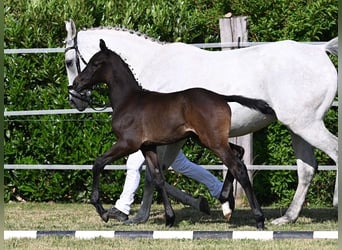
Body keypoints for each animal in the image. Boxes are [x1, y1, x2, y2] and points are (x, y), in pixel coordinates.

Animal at [71, 40, 274, 229]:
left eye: (96, 63)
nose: (75, 84)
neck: (128, 100)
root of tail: (221, 97)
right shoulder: (148, 146)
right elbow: (158, 178)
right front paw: (170, 218)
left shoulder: (128, 143)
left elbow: (98, 163)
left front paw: (102, 211)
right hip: (205, 139)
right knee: (239, 153)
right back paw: (226, 203)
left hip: (213, 141)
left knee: (238, 167)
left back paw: (258, 218)